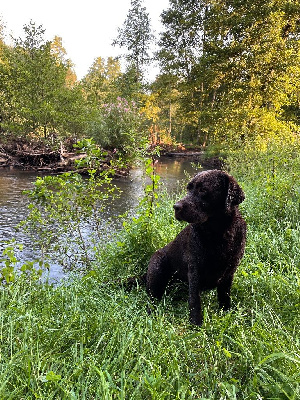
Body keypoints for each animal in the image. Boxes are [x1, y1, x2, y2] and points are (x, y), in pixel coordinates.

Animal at [145, 169, 246, 324]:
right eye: (188, 189)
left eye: (203, 189)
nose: (176, 206)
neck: (219, 233)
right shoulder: (195, 270)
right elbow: (194, 300)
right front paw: (196, 324)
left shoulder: (230, 271)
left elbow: (225, 296)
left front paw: (226, 313)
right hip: (157, 265)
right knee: (152, 298)